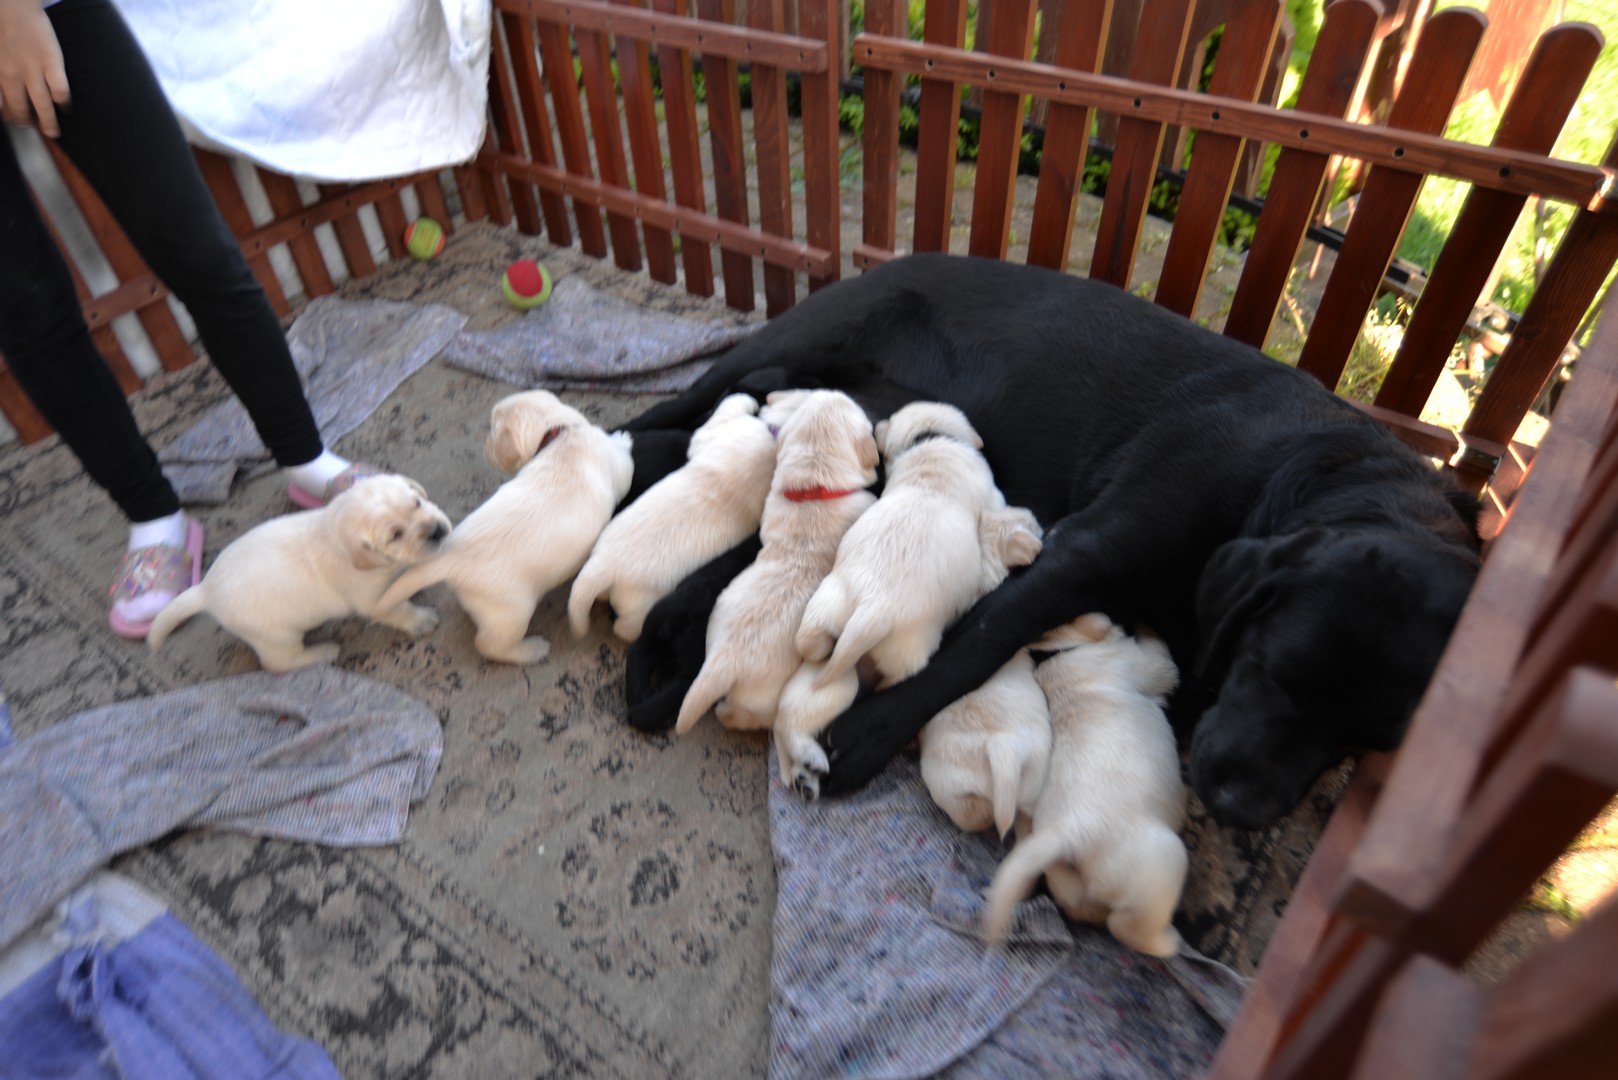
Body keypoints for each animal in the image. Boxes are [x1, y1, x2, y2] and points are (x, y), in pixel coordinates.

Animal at [148, 475, 452, 672]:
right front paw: (421, 619)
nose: (438, 531)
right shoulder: (372, 599)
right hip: (277, 636)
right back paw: (322, 652)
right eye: (396, 534)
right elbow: (399, 609)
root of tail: (205, 589)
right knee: (278, 664)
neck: (334, 534)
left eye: (417, 503)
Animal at [374, 390, 634, 665]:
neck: (558, 435)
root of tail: (449, 557)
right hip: (513, 612)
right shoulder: (621, 467)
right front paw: (622, 437)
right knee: (489, 645)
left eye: (492, 430)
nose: (485, 446)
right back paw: (532, 650)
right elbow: (625, 459)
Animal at [982, 614, 1187, 957]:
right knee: (1126, 926)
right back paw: (1167, 942)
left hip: (1065, 877)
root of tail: (1065, 831)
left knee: (1083, 905)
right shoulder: (1147, 664)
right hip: (1163, 861)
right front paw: (1146, 627)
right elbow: (1161, 654)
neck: (1060, 652)